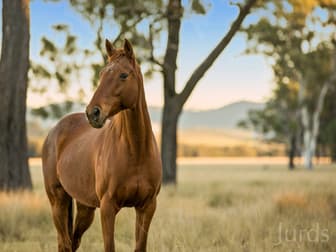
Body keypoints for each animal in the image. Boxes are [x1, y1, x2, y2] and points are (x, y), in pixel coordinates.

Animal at [41, 39, 162, 252]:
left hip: (85, 208)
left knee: (72, 242)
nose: (93, 113)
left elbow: (140, 246)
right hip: (58, 202)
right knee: (65, 243)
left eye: (124, 75)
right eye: (102, 74)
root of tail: (55, 130)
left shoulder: (147, 207)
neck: (136, 151)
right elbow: (109, 246)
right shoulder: (107, 208)